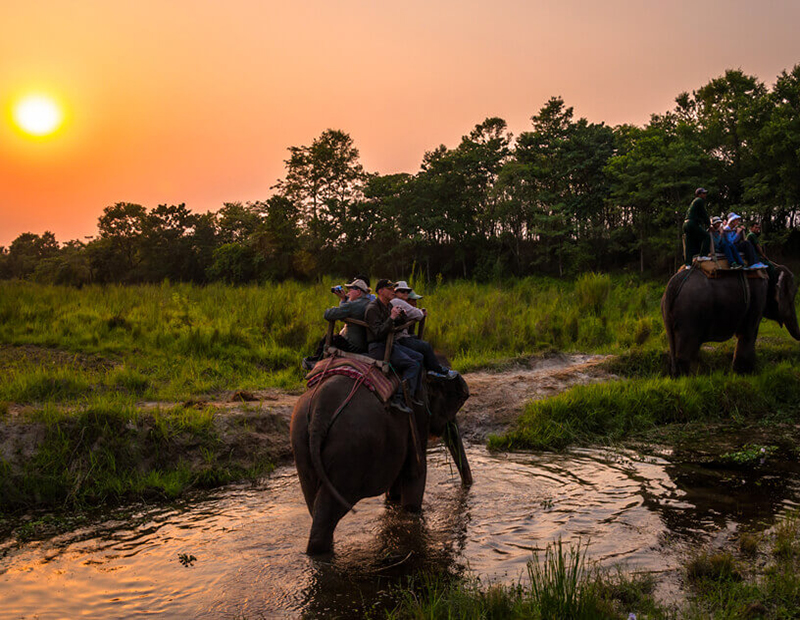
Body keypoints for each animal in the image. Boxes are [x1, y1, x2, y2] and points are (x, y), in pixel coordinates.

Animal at [290, 370, 472, 556]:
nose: (467, 486)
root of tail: (319, 413)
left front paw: (394, 502)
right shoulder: (417, 412)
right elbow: (416, 471)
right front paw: (412, 511)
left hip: (301, 442)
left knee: (315, 506)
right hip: (348, 451)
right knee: (327, 511)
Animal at [664, 264, 800, 376]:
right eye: (793, 296)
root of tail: (673, 284)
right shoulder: (758, 296)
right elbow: (748, 333)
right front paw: (745, 374)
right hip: (690, 314)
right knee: (685, 352)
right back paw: (689, 378)